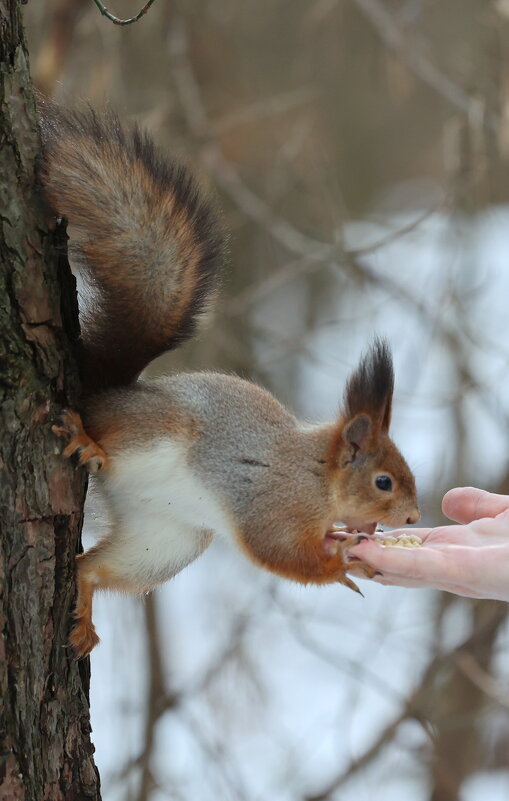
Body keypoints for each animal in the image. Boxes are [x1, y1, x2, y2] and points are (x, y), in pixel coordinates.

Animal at [39, 100, 418, 656]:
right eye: (383, 481)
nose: (414, 520)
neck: (316, 476)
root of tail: (109, 389)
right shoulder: (271, 508)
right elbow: (278, 555)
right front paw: (339, 565)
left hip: (166, 542)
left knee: (90, 567)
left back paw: (84, 617)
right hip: (155, 430)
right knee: (102, 433)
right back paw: (89, 441)